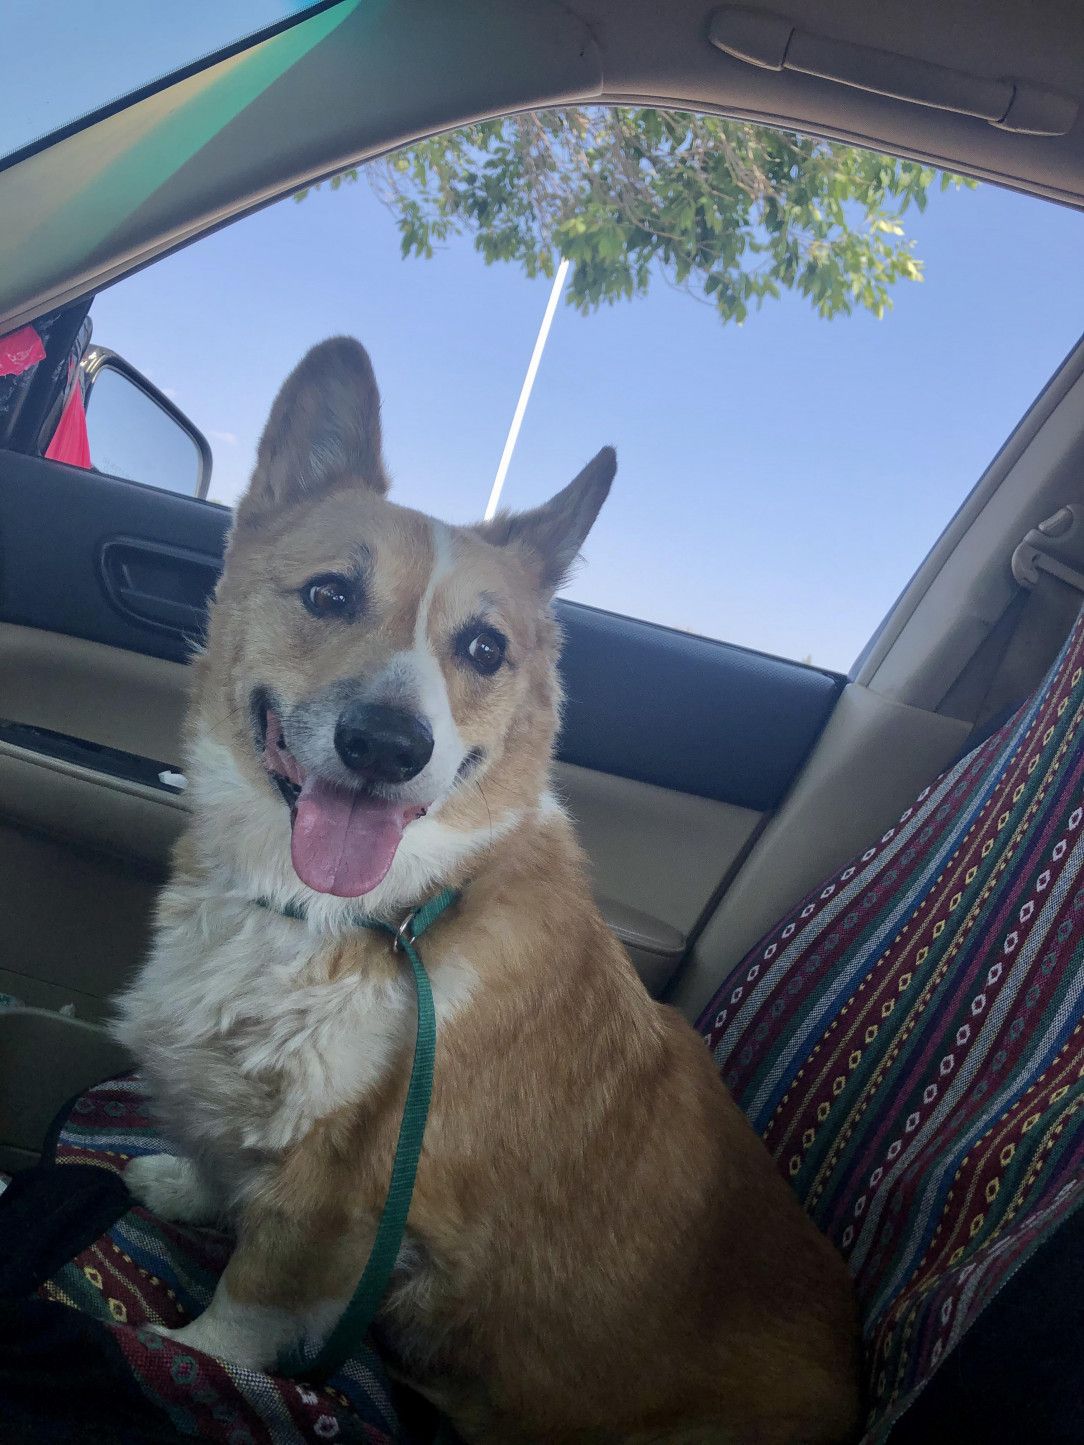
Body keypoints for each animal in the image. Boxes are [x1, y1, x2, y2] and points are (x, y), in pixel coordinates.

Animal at [114, 341, 861, 1445]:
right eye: (329, 595)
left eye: (482, 649)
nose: (387, 745)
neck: (388, 914)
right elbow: (217, 1158)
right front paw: (182, 1182)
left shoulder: (344, 1191)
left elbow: (248, 1302)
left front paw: (186, 1357)